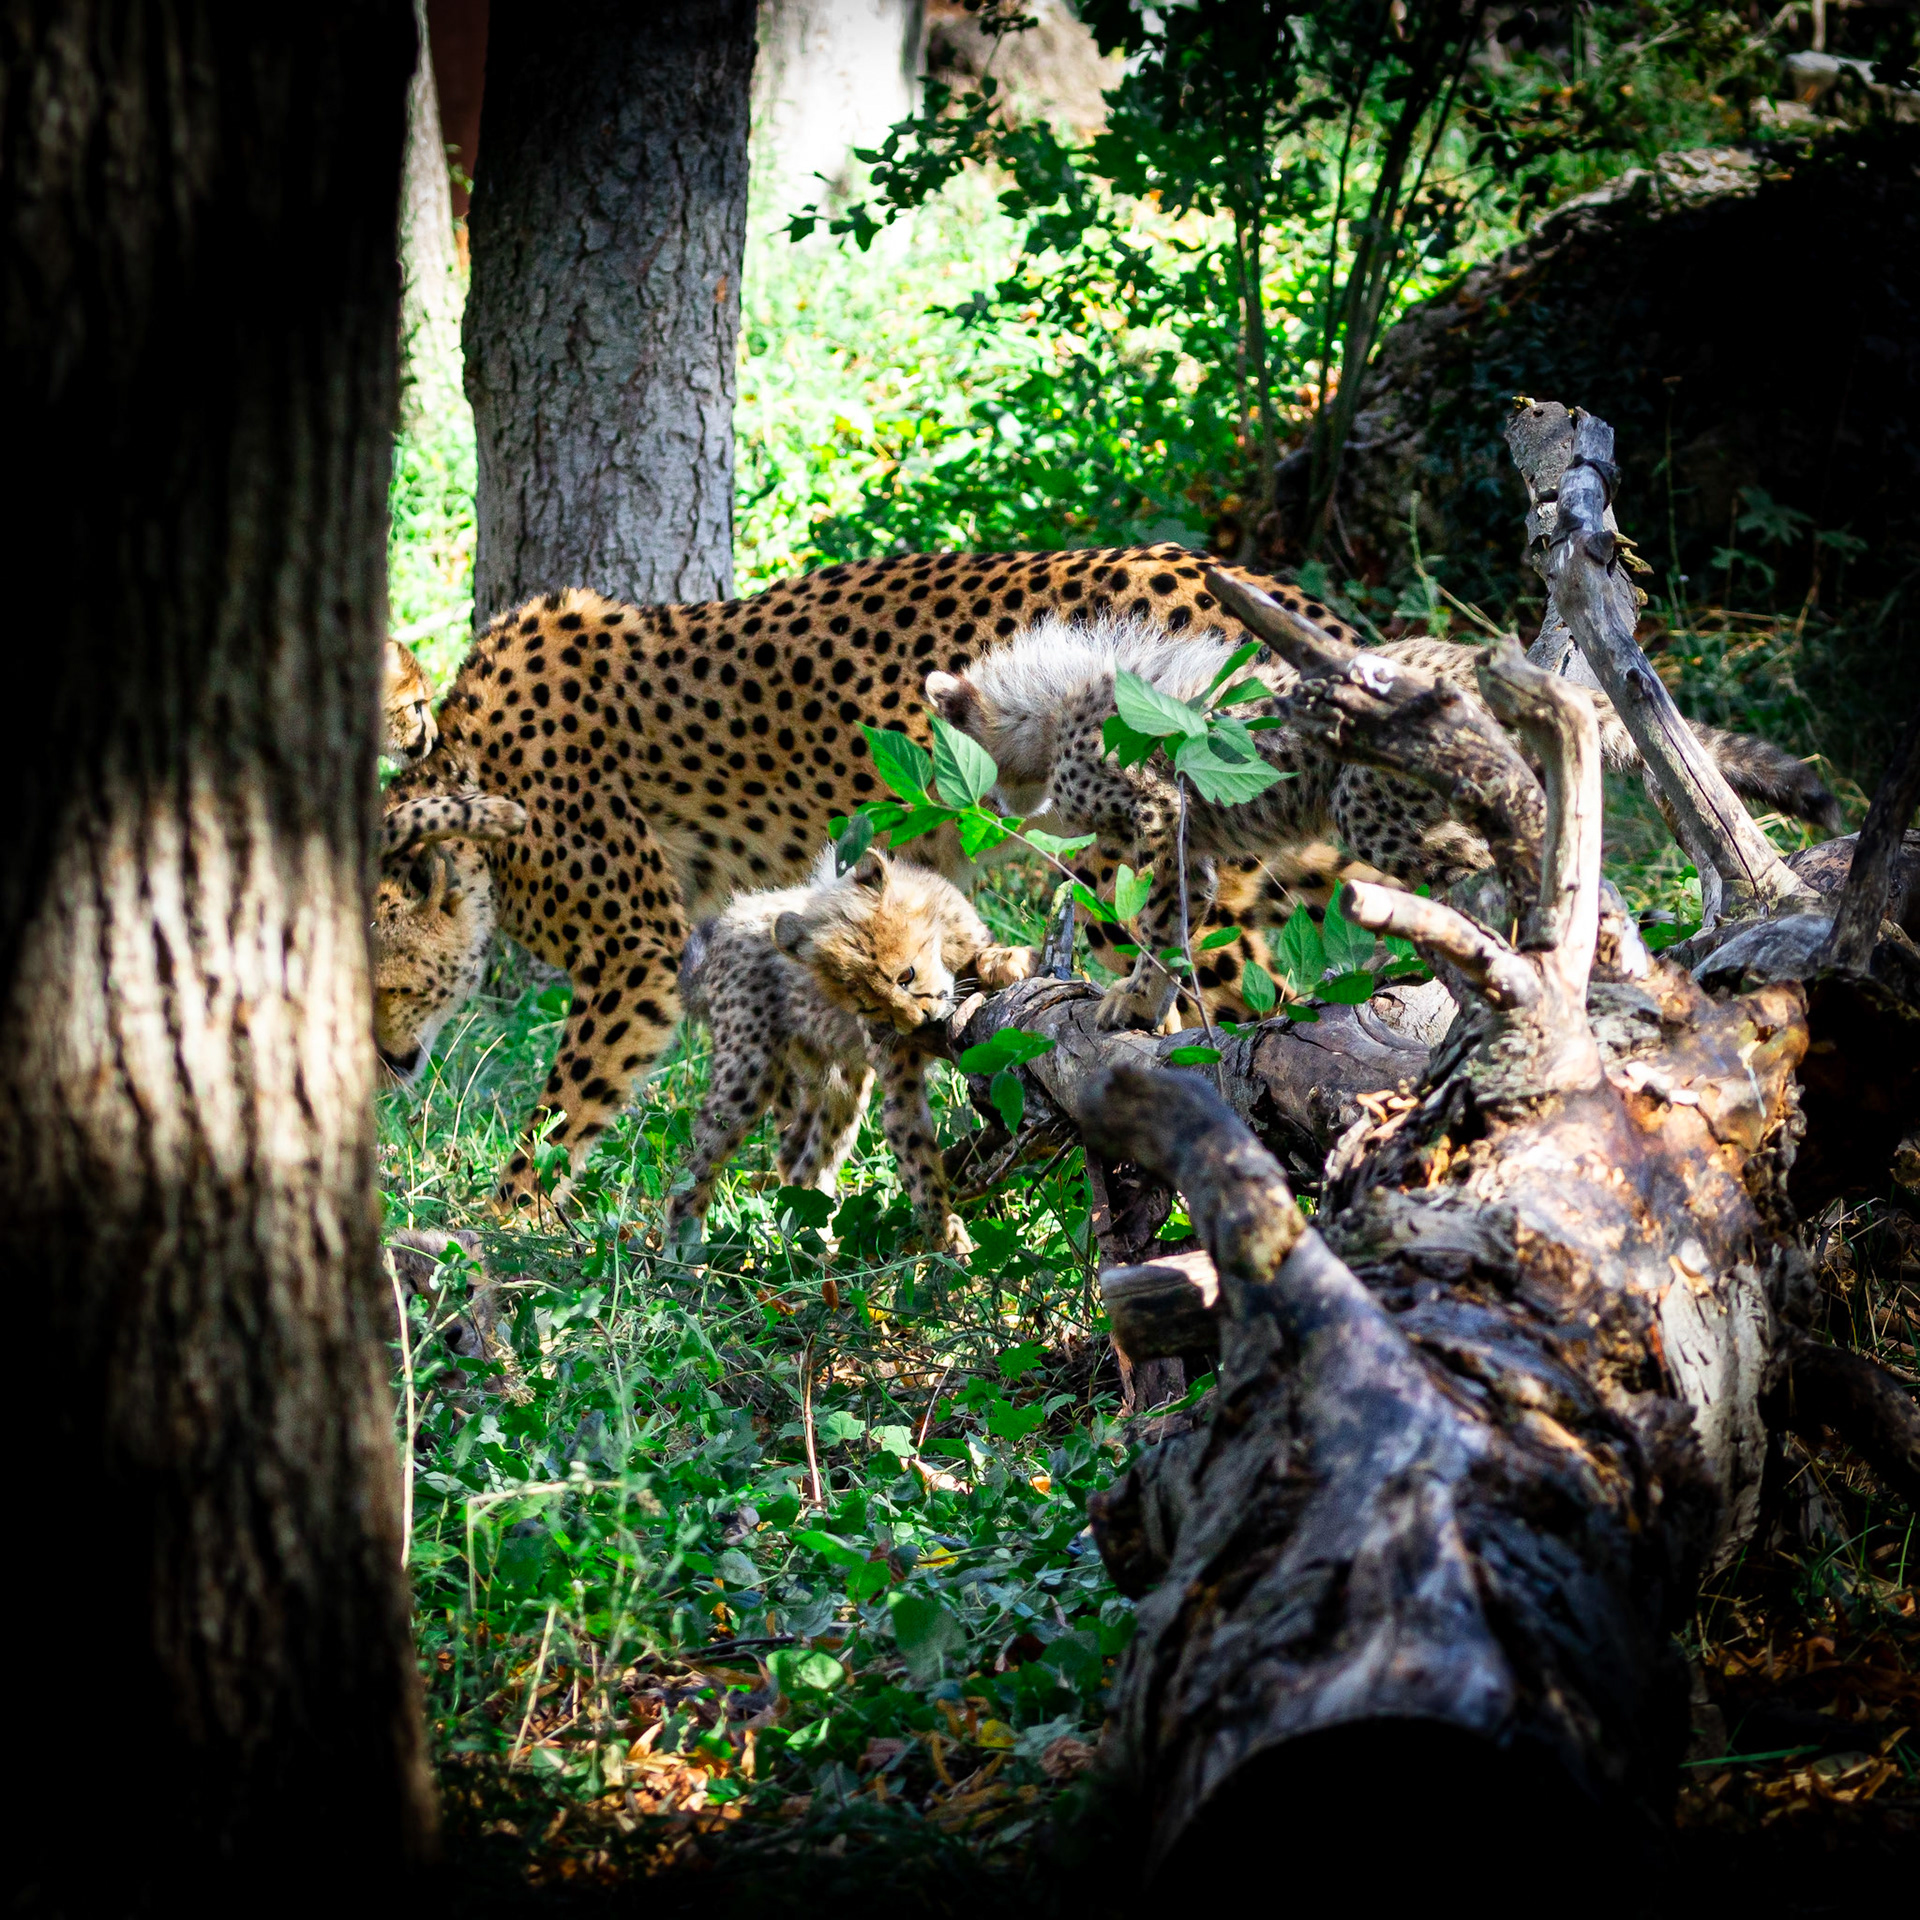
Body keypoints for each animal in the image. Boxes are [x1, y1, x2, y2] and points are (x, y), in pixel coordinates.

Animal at [370, 545, 1374, 1212]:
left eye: (385, 986)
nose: (384, 1063)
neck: (464, 778)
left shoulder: (633, 953)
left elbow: (559, 1115)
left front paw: (498, 1246)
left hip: (1125, 858)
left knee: (1240, 1024)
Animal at [669, 846, 1035, 1256]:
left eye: (905, 975)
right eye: (869, 1006)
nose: (918, 1021)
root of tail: (729, 918)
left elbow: (990, 953)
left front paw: (1007, 961)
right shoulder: (900, 1085)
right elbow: (920, 1168)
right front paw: (951, 1245)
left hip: (837, 1084)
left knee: (800, 1161)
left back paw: (818, 1252)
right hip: (748, 1071)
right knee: (695, 1166)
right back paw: (682, 1255)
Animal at [924, 608, 1844, 1032]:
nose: (984, 807)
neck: (1047, 709)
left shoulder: (1159, 814)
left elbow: (1150, 916)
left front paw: (1137, 992)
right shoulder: (1193, 847)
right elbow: (1176, 922)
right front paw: (1150, 999)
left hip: (1374, 806)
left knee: (1490, 865)